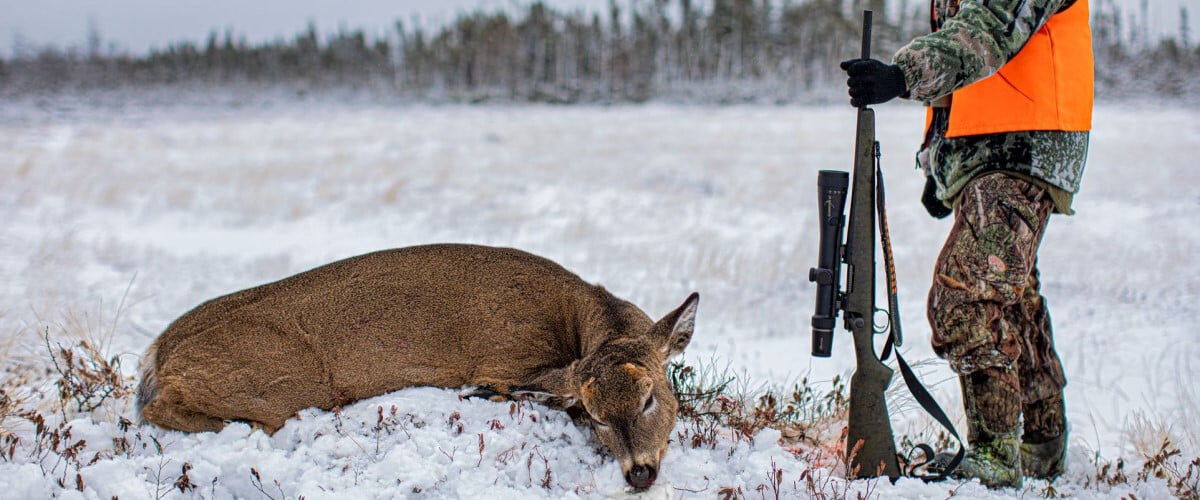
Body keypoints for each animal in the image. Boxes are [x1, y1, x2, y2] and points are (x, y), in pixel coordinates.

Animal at [136, 243, 700, 489]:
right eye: (595, 415)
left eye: (650, 398)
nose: (640, 474)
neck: (574, 316)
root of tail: (158, 351)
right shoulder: (506, 357)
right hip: (284, 382)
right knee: (158, 408)